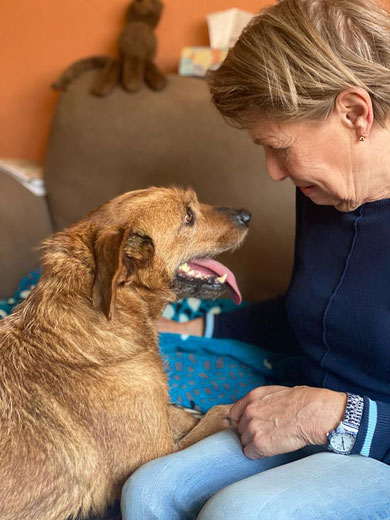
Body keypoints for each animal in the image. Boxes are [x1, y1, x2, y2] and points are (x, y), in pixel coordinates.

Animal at [0, 188, 250, 520]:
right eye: (188, 216)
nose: (247, 215)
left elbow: (176, 412)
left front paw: (186, 411)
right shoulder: (158, 455)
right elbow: (215, 416)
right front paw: (225, 412)